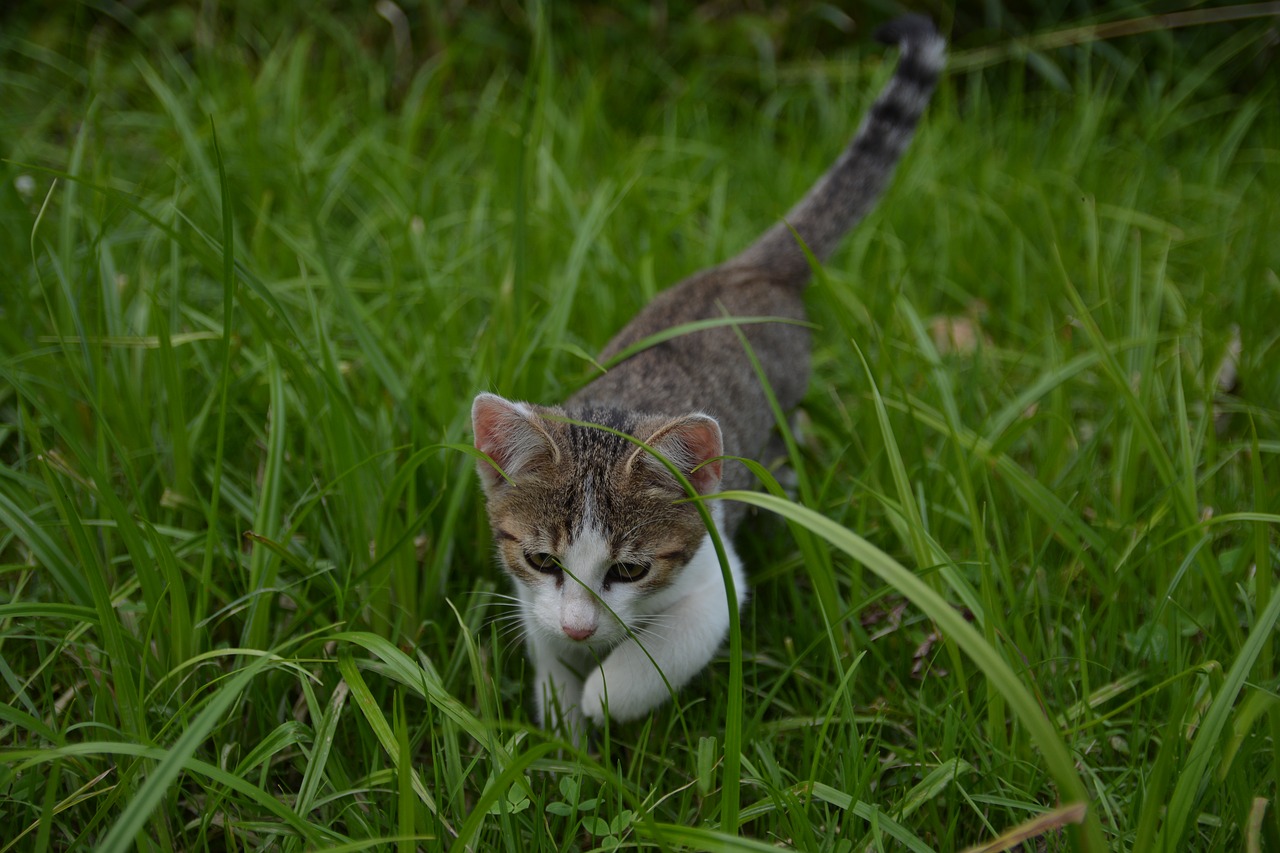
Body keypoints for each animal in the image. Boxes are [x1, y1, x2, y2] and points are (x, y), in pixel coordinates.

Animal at [476, 11, 947, 732]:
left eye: (630, 570)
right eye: (542, 559)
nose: (583, 627)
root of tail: (747, 270)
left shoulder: (714, 577)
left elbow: (666, 650)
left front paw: (603, 693)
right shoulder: (527, 591)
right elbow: (541, 636)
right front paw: (561, 711)